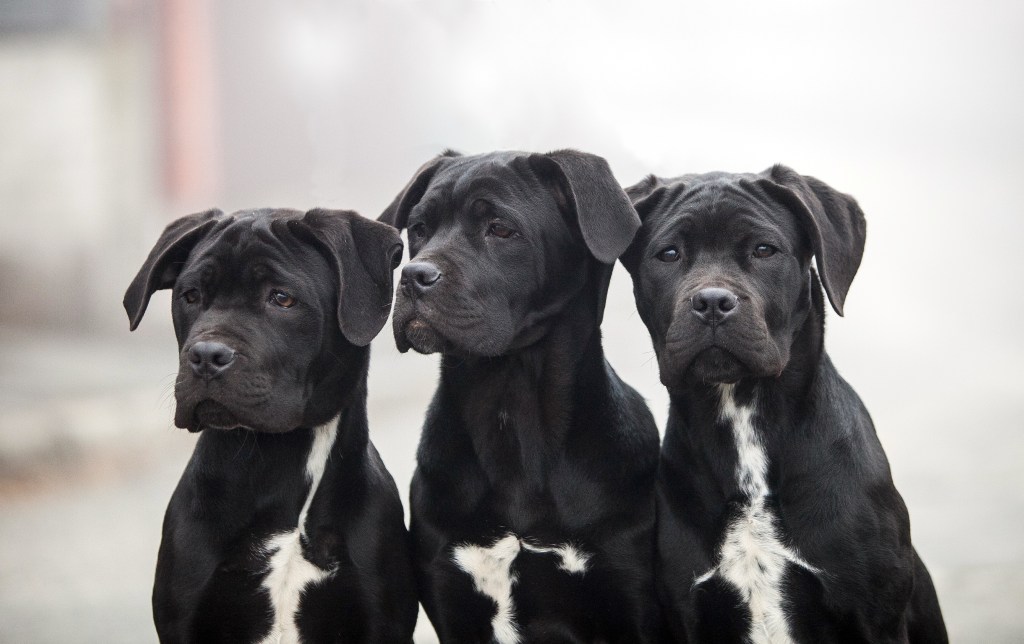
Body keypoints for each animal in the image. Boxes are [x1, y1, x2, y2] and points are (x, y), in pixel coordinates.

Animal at [380, 148, 659, 638]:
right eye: (419, 228)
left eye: (501, 229)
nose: (414, 276)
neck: (509, 406)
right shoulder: (452, 596)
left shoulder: (628, 593)